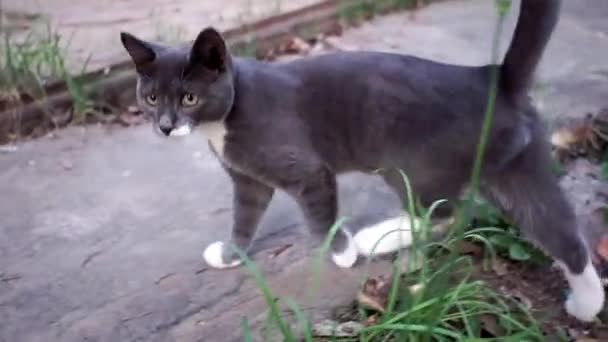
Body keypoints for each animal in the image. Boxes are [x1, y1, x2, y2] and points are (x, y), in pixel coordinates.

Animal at [120, 0, 604, 320]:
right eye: (150, 98)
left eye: (189, 96)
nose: (166, 126)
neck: (228, 116)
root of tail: (493, 77)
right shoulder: (248, 180)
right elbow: (245, 216)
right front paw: (231, 253)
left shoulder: (309, 170)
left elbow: (321, 216)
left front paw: (344, 253)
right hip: (517, 169)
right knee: (561, 233)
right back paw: (586, 303)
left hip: (411, 163)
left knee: (445, 212)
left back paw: (376, 239)